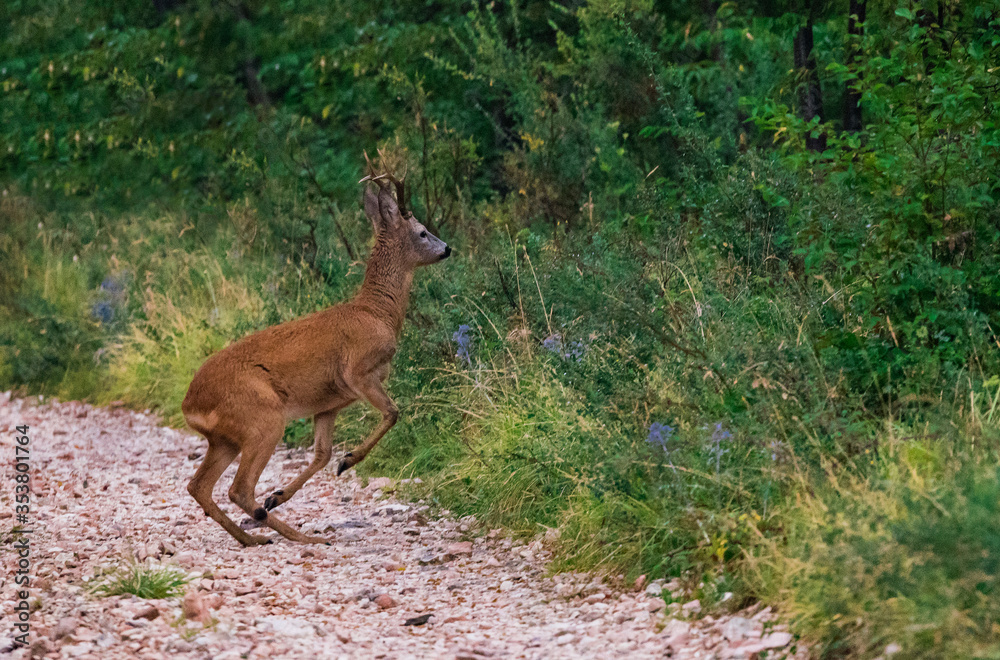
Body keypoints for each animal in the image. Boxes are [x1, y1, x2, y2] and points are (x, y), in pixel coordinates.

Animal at [181, 153, 450, 546]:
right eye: (422, 231)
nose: (448, 248)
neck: (376, 312)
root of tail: (190, 405)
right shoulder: (358, 371)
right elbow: (392, 413)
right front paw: (347, 460)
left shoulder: (328, 404)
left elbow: (322, 454)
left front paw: (279, 494)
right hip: (263, 417)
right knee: (238, 488)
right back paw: (301, 537)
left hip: (225, 438)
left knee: (199, 486)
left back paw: (254, 537)